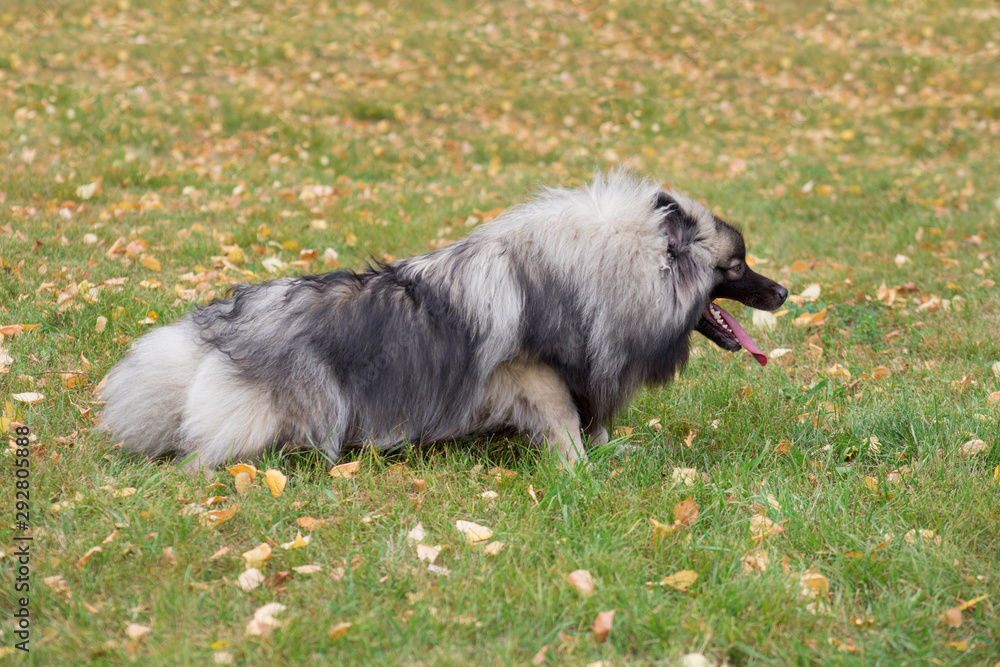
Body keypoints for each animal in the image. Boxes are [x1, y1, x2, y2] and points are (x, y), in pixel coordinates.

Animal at [101, 171, 788, 470]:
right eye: (737, 266)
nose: (783, 291)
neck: (597, 270)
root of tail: (222, 325)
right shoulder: (534, 375)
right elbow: (564, 422)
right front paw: (579, 472)